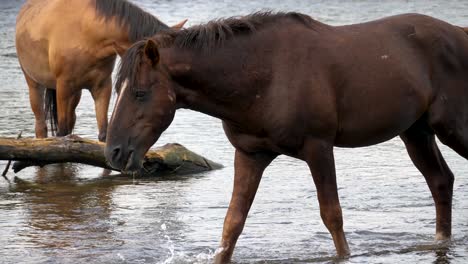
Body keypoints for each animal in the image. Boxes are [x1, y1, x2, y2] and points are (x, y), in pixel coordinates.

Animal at [15, 0, 186, 142]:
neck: (86, 34)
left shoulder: (102, 86)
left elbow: (103, 133)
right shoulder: (63, 86)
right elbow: (61, 133)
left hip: (75, 93)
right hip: (35, 83)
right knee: (41, 126)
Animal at [103, 12, 468, 262]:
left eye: (139, 93)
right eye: (118, 90)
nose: (115, 152)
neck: (260, 79)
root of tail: (460, 33)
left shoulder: (318, 146)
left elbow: (332, 215)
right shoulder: (249, 154)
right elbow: (231, 224)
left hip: (452, 127)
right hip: (416, 132)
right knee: (441, 181)